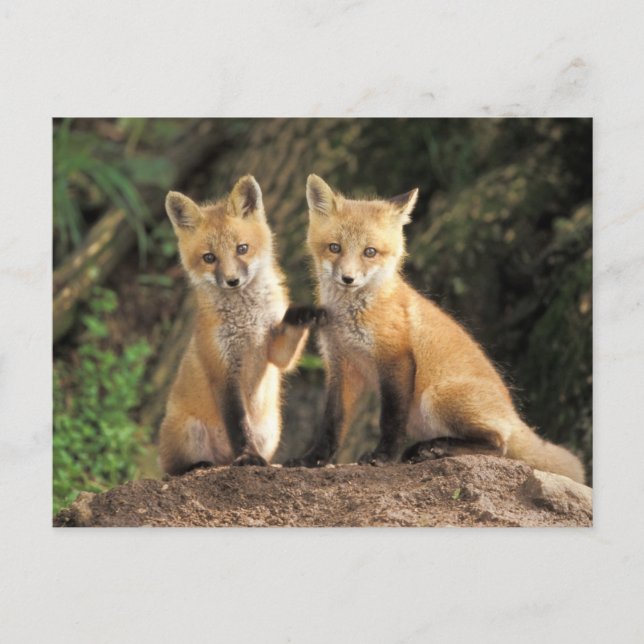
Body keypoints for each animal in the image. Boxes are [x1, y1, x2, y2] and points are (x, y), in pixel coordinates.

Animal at [159, 175, 324, 475]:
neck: (248, 321)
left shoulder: (275, 352)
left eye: (242, 249)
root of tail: (222, 459)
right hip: (189, 432)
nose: (232, 281)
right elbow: (238, 425)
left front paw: (303, 313)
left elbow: (286, 346)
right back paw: (199, 465)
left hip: (271, 431)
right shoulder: (223, 371)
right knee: (173, 469)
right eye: (209, 258)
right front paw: (248, 456)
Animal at [285, 174, 586, 484]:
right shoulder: (341, 364)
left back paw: (436, 448)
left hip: (436, 396)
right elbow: (332, 422)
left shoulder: (396, 358)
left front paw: (383, 456)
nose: (348, 278)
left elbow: (390, 418)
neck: (351, 316)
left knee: (499, 444)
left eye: (370, 252)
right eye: (335, 247)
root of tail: (513, 414)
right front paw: (313, 460)